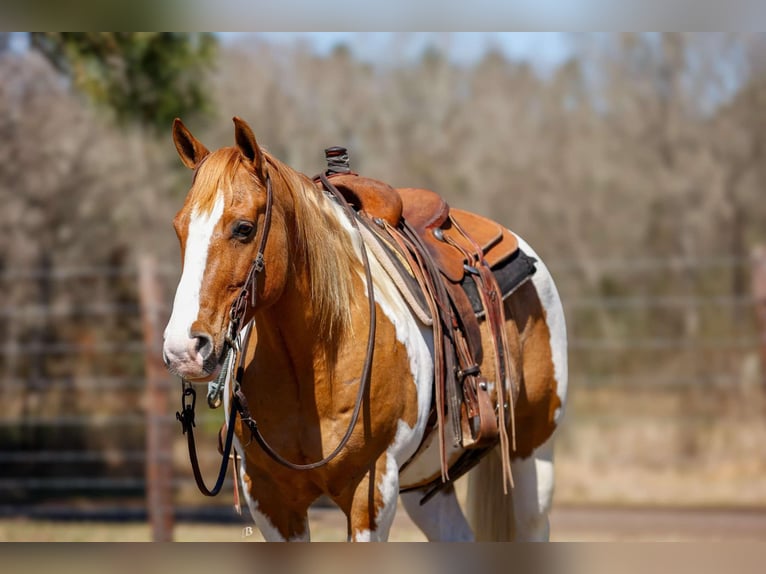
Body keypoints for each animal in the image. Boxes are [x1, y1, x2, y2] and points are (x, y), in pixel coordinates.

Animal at [162, 118, 568, 544]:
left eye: (243, 228)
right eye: (179, 227)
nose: (183, 349)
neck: (314, 362)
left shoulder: (371, 493)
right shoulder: (270, 499)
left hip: (534, 455)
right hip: (427, 483)